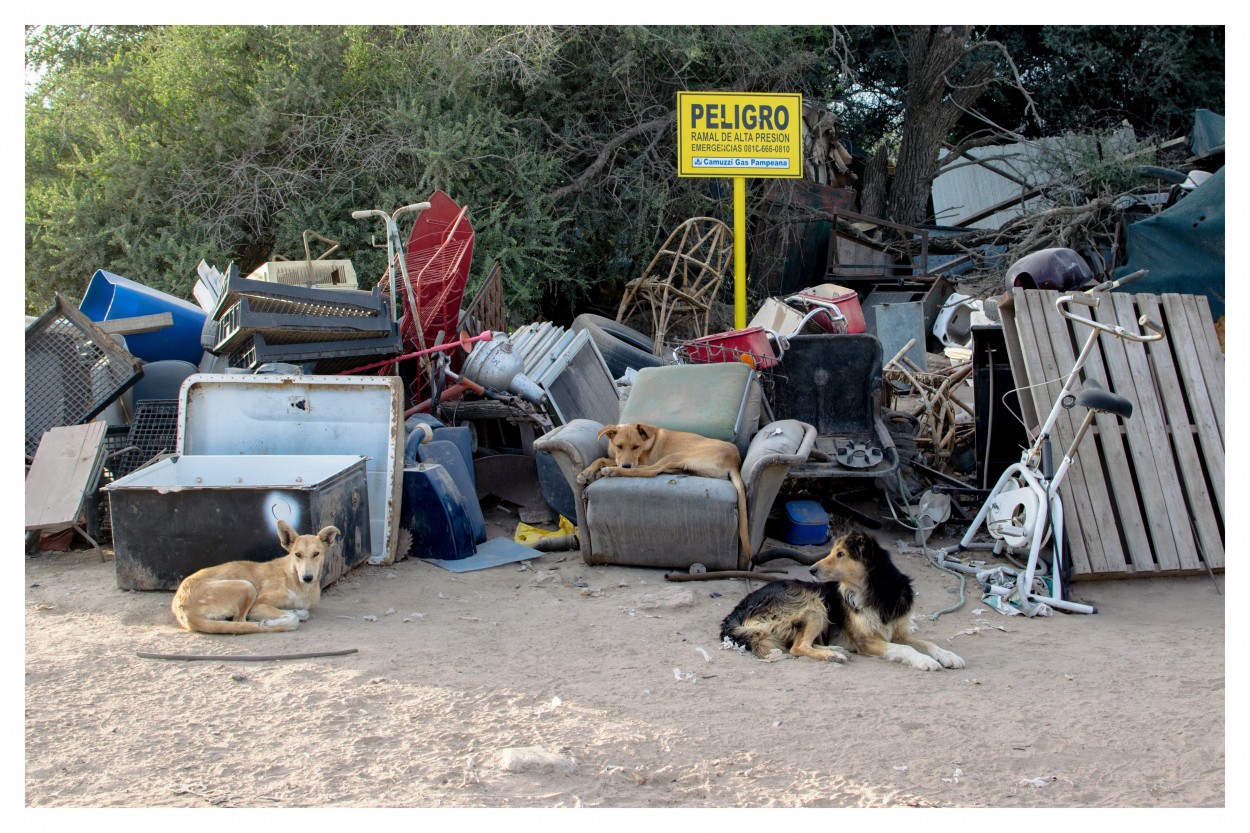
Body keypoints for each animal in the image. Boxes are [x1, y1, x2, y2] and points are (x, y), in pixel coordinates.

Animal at [171, 515, 340, 632]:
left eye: (316, 554)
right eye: (297, 554)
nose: (307, 577)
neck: (297, 581)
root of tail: (181, 606)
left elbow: (303, 612)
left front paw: (293, 611)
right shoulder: (257, 605)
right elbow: (293, 618)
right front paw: (274, 621)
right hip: (246, 586)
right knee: (239, 621)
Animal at [577, 422, 750, 557]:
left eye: (636, 447)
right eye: (619, 446)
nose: (626, 465)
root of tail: (735, 461)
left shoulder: (639, 461)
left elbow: (610, 460)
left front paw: (595, 471)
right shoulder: (622, 459)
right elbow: (603, 458)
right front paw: (587, 473)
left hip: (676, 455)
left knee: (650, 471)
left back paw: (611, 471)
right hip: (680, 465)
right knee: (657, 469)